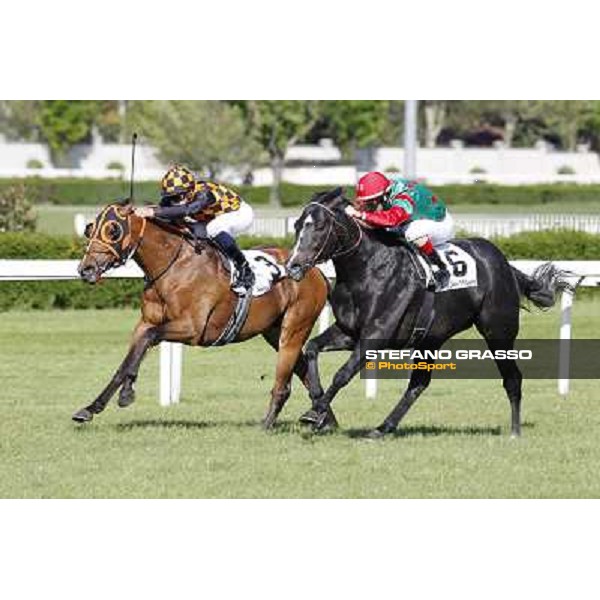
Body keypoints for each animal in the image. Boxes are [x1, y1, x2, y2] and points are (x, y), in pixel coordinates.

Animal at [73, 200, 330, 426]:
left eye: (113, 230)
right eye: (89, 229)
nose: (86, 269)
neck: (173, 267)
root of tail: (314, 269)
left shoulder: (192, 329)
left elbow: (148, 339)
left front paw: (123, 394)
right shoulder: (146, 322)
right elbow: (130, 357)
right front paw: (94, 406)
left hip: (294, 328)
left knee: (284, 383)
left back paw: (268, 424)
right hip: (274, 332)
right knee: (303, 371)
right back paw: (324, 420)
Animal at [286, 190, 572, 438]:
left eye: (320, 226)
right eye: (298, 225)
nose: (293, 266)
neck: (367, 268)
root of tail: (503, 263)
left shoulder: (375, 336)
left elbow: (342, 374)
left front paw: (316, 412)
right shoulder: (349, 332)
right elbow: (311, 348)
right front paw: (317, 403)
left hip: (498, 332)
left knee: (512, 378)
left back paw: (514, 431)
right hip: (430, 338)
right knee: (419, 383)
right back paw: (383, 427)